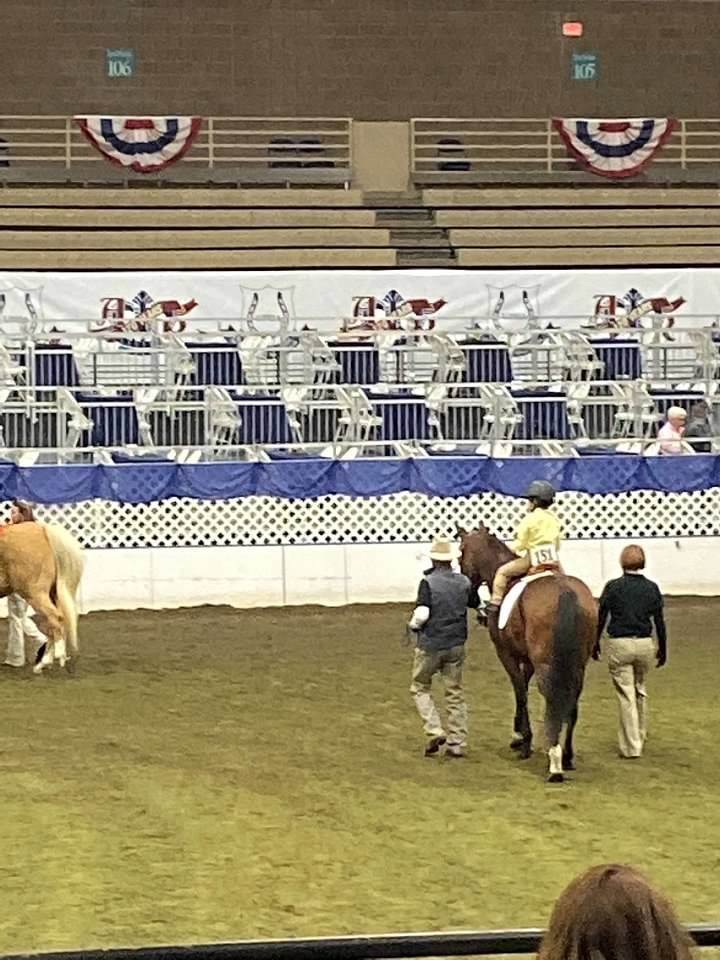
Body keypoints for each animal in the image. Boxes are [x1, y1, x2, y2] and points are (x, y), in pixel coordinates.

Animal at [0, 520, 84, 672]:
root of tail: (44, 530)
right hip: (50, 594)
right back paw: (43, 662)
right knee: (52, 623)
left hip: (35, 594)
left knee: (56, 618)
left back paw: (56, 657)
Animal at [462, 524, 596, 780]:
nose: (470, 597)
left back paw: (554, 761)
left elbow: (520, 692)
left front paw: (523, 741)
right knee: (572, 704)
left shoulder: (506, 653)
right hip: (578, 665)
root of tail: (565, 592)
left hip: (547, 664)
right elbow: (522, 687)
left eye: (460, 553)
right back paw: (567, 757)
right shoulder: (528, 659)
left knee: (552, 698)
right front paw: (517, 737)